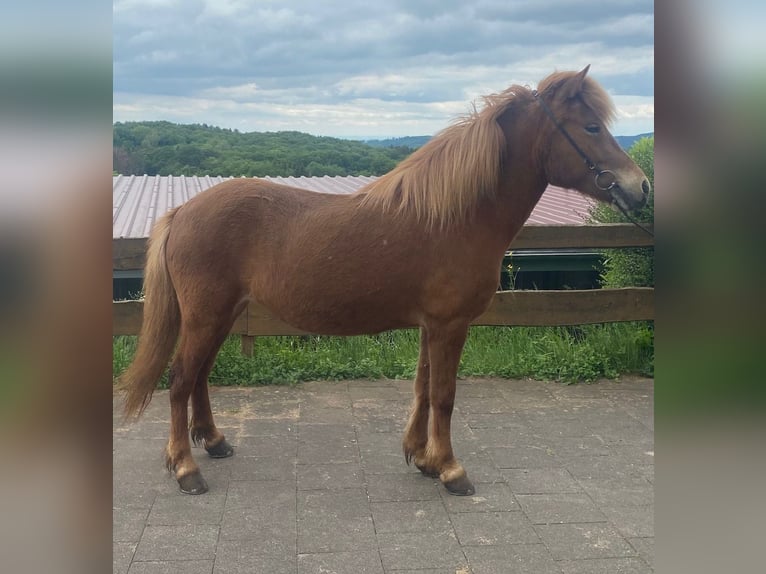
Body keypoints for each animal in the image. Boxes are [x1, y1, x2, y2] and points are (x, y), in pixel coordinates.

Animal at [118, 67, 648, 498]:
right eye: (592, 127)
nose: (640, 187)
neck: (457, 215)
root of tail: (182, 211)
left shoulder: (432, 325)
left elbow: (422, 388)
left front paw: (423, 458)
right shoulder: (450, 325)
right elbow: (444, 395)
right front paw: (452, 470)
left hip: (222, 315)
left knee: (200, 377)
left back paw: (214, 442)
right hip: (207, 316)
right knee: (180, 380)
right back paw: (186, 469)